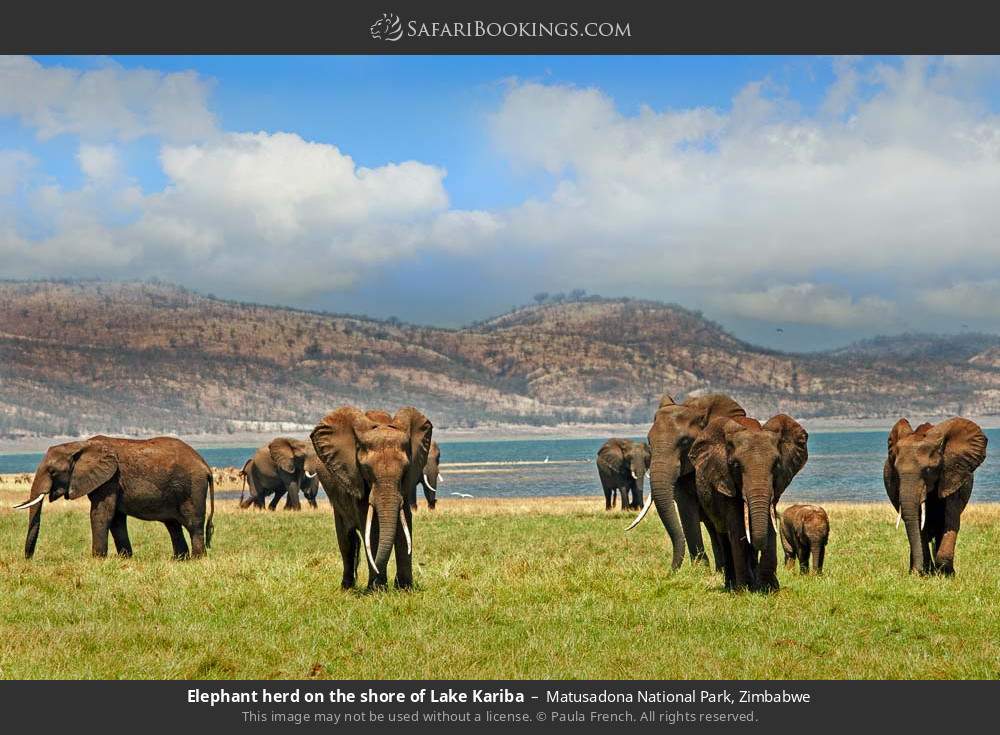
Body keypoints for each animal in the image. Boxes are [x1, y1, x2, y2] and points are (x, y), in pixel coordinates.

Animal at [14, 436, 215, 559]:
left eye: (53, 472)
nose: (29, 559)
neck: (80, 445)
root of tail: (205, 465)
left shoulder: (109, 479)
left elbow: (102, 514)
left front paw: (97, 559)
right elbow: (116, 519)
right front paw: (125, 558)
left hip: (193, 487)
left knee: (193, 524)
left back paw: (197, 559)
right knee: (173, 526)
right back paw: (179, 560)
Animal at [310, 406, 433, 590]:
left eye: (405, 469)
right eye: (367, 470)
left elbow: (405, 522)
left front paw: (404, 589)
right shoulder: (355, 477)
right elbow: (372, 527)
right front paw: (377, 590)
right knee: (346, 539)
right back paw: (347, 587)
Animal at [627, 393, 747, 571]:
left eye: (684, 441)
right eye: (649, 441)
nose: (670, 571)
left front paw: (700, 570)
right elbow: (686, 508)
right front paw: (700, 570)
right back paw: (719, 570)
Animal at [689, 414, 808, 592]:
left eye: (776, 464)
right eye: (735, 465)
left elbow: (768, 524)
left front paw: (769, 589)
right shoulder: (725, 482)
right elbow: (738, 528)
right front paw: (744, 590)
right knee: (724, 537)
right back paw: (732, 586)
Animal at [884, 417, 987, 576]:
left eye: (928, 470)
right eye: (896, 470)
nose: (917, 572)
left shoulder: (952, 475)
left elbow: (950, 520)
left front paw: (946, 574)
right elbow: (920, 525)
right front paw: (926, 572)